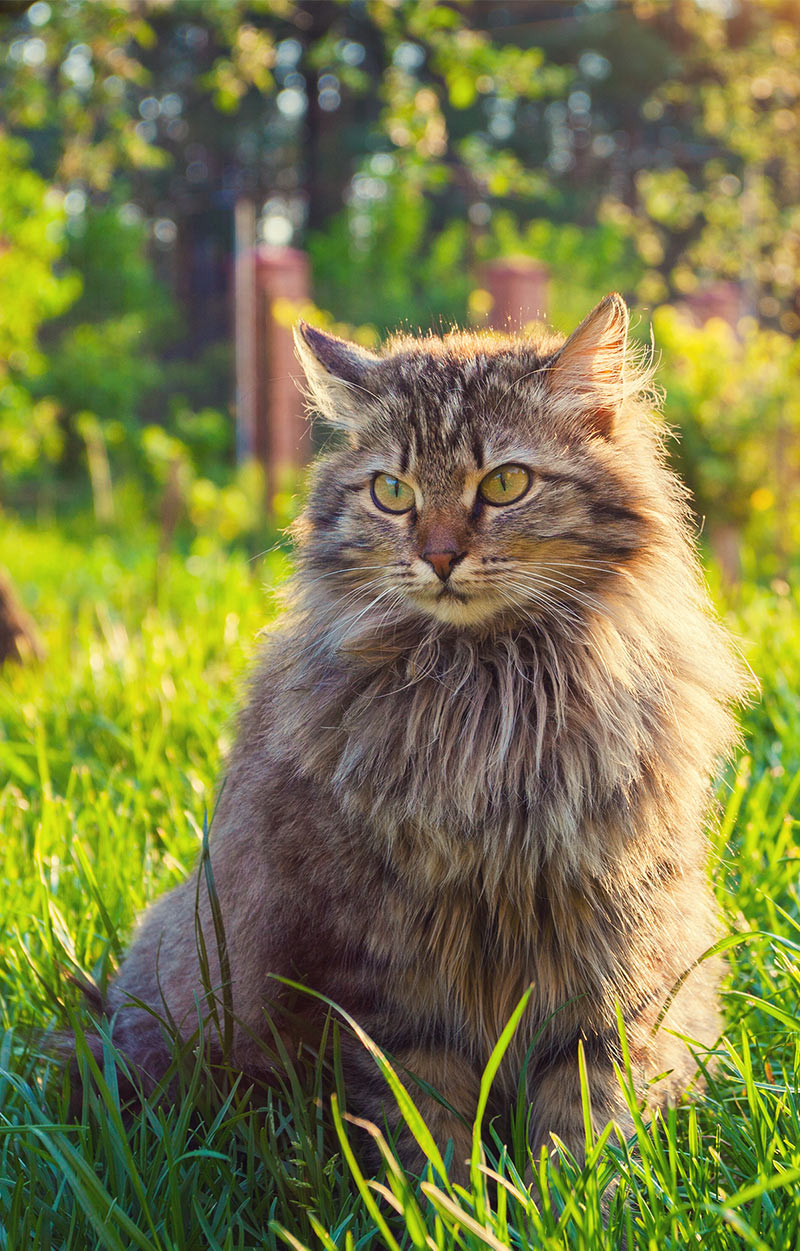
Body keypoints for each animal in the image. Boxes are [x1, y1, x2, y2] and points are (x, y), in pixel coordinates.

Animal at [103, 297, 746, 1175]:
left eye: (504, 483)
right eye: (392, 491)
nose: (438, 555)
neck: (491, 694)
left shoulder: (616, 936)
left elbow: (592, 1101)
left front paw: (572, 1192)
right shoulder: (386, 963)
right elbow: (422, 1114)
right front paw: (447, 1192)